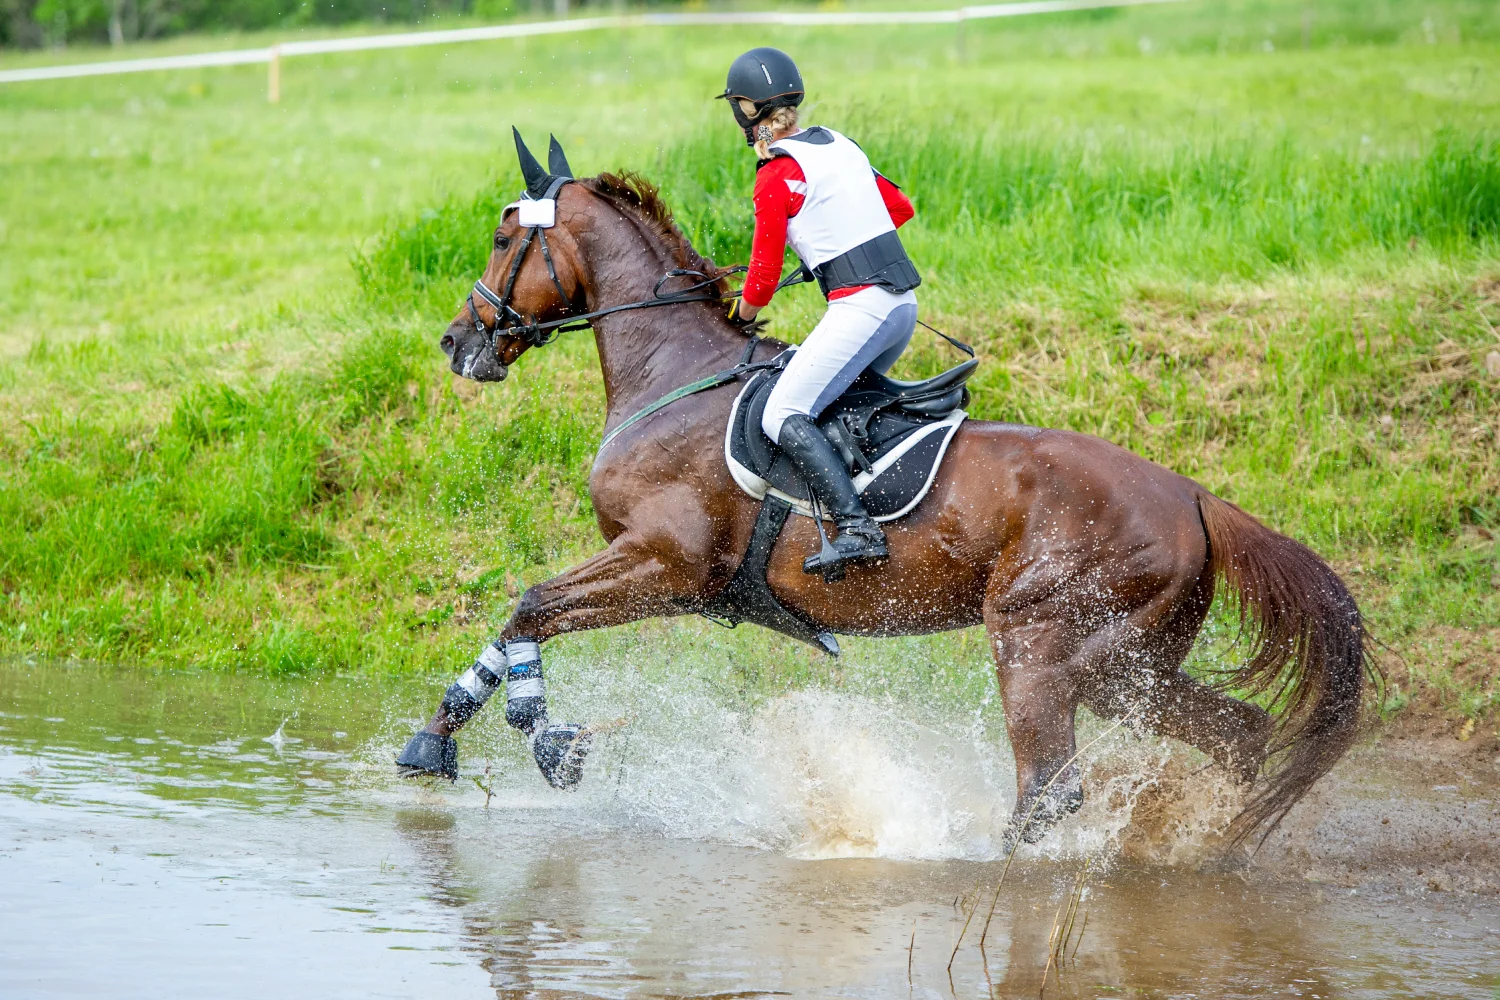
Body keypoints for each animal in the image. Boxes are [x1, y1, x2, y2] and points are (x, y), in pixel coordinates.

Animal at [402, 134, 1374, 851]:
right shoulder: (662, 576)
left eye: (503, 236)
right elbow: (516, 619)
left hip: (1040, 642)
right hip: (1124, 665)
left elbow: (531, 605)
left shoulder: (666, 566)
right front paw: (435, 742)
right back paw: (1212, 848)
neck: (675, 374)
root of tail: (1194, 496)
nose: (457, 340)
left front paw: (548, 740)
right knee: (1236, 737)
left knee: (1050, 791)